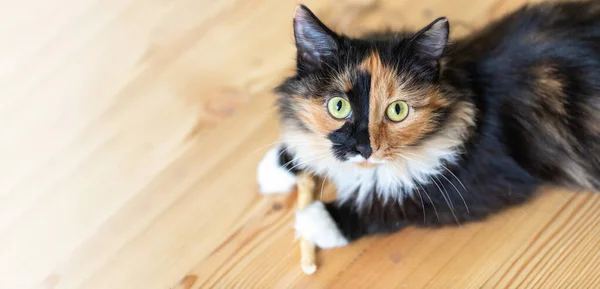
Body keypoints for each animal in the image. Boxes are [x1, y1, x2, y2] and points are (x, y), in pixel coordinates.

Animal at [256, 0, 600, 248]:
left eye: (397, 110)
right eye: (339, 106)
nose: (364, 148)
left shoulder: (481, 182)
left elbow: (391, 205)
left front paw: (316, 220)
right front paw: (277, 166)